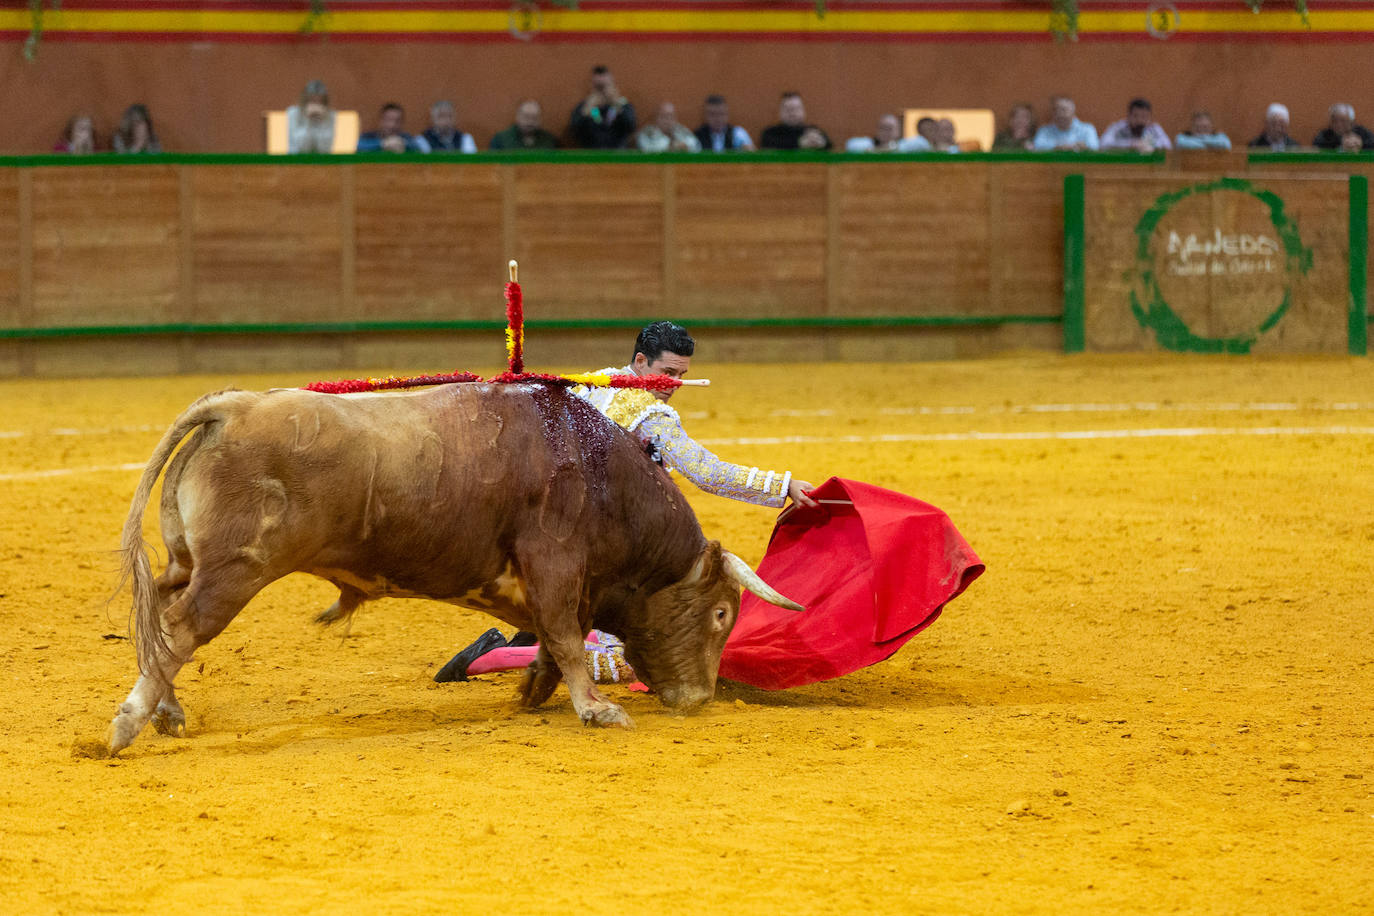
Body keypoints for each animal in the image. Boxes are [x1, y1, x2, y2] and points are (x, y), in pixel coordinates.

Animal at [109, 384, 802, 758]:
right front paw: (597, 709)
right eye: (720, 613)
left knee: (159, 619)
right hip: (236, 570)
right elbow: (567, 637)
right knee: (181, 627)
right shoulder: (555, 561)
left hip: (190, 562)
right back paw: (127, 724)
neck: (601, 473)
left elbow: (555, 639)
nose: (700, 699)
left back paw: (167, 712)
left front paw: (535, 692)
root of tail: (235, 406)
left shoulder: (548, 583)